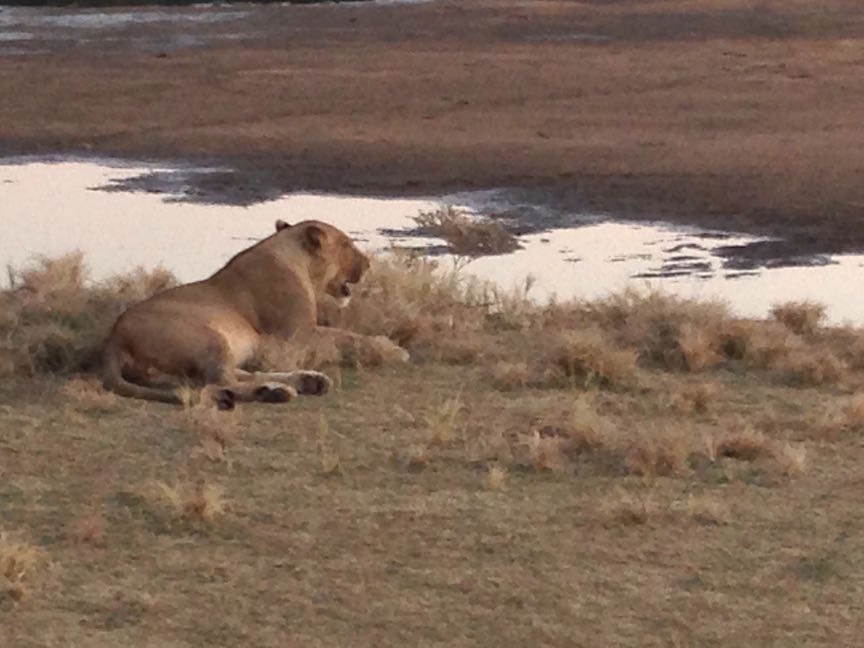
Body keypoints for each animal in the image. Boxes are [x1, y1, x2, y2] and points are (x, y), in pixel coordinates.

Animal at [102, 220, 408, 408]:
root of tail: (113, 338)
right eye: (346, 245)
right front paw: (393, 350)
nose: (368, 263)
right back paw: (279, 391)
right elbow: (348, 336)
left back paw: (306, 381)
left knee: (233, 377)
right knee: (221, 381)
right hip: (208, 337)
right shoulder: (297, 336)